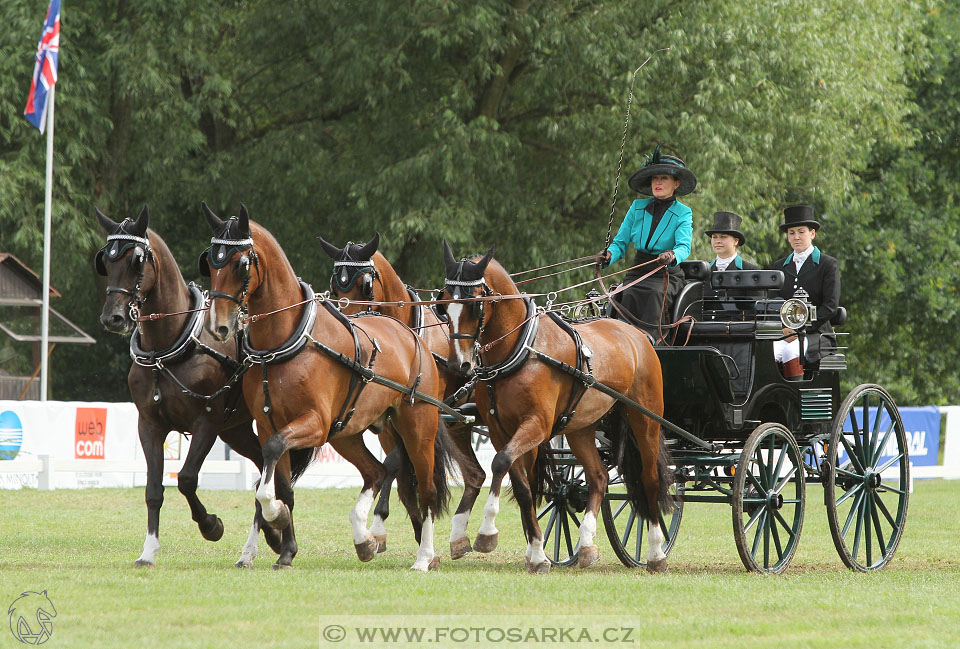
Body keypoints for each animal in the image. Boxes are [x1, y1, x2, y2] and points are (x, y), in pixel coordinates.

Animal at [95, 206, 310, 568]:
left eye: (137, 260)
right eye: (106, 262)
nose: (113, 318)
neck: (168, 349)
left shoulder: (206, 422)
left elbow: (185, 479)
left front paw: (211, 525)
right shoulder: (149, 425)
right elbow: (153, 489)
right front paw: (148, 551)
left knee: (266, 477)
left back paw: (259, 545)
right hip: (236, 430)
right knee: (260, 470)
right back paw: (270, 536)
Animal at [200, 205, 454, 568]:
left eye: (241, 264)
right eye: (210, 263)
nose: (218, 326)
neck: (281, 345)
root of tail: (409, 333)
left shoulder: (314, 424)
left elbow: (273, 458)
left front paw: (275, 516)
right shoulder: (268, 424)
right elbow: (281, 483)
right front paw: (284, 548)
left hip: (417, 426)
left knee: (426, 488)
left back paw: (423, 557)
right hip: (347, 432)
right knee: (376, 472)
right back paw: (364, 539)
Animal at [318, 233, 488, 556]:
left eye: (367, 285)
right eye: (335, 286)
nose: (348, 334)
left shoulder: (421, 415)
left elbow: (396, 464)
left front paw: (383, 528)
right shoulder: (389, 421)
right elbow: (397, 469)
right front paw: (401, 529)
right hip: (459, 425)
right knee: (476, 475)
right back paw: (459, 538)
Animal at [436, 243, 676, 572]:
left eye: (475, 305)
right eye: (444, 305)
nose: (459, 365)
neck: (521, 350)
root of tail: (637, 334)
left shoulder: (537, 424)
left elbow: (500, 463)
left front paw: (487, 532)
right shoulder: (500, 429)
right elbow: (521, 485)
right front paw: (537, 553)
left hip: (645, 417)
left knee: (650, 479)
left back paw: (655, 553)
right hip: (580, 427)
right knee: (598, 477)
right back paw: (586, 545)